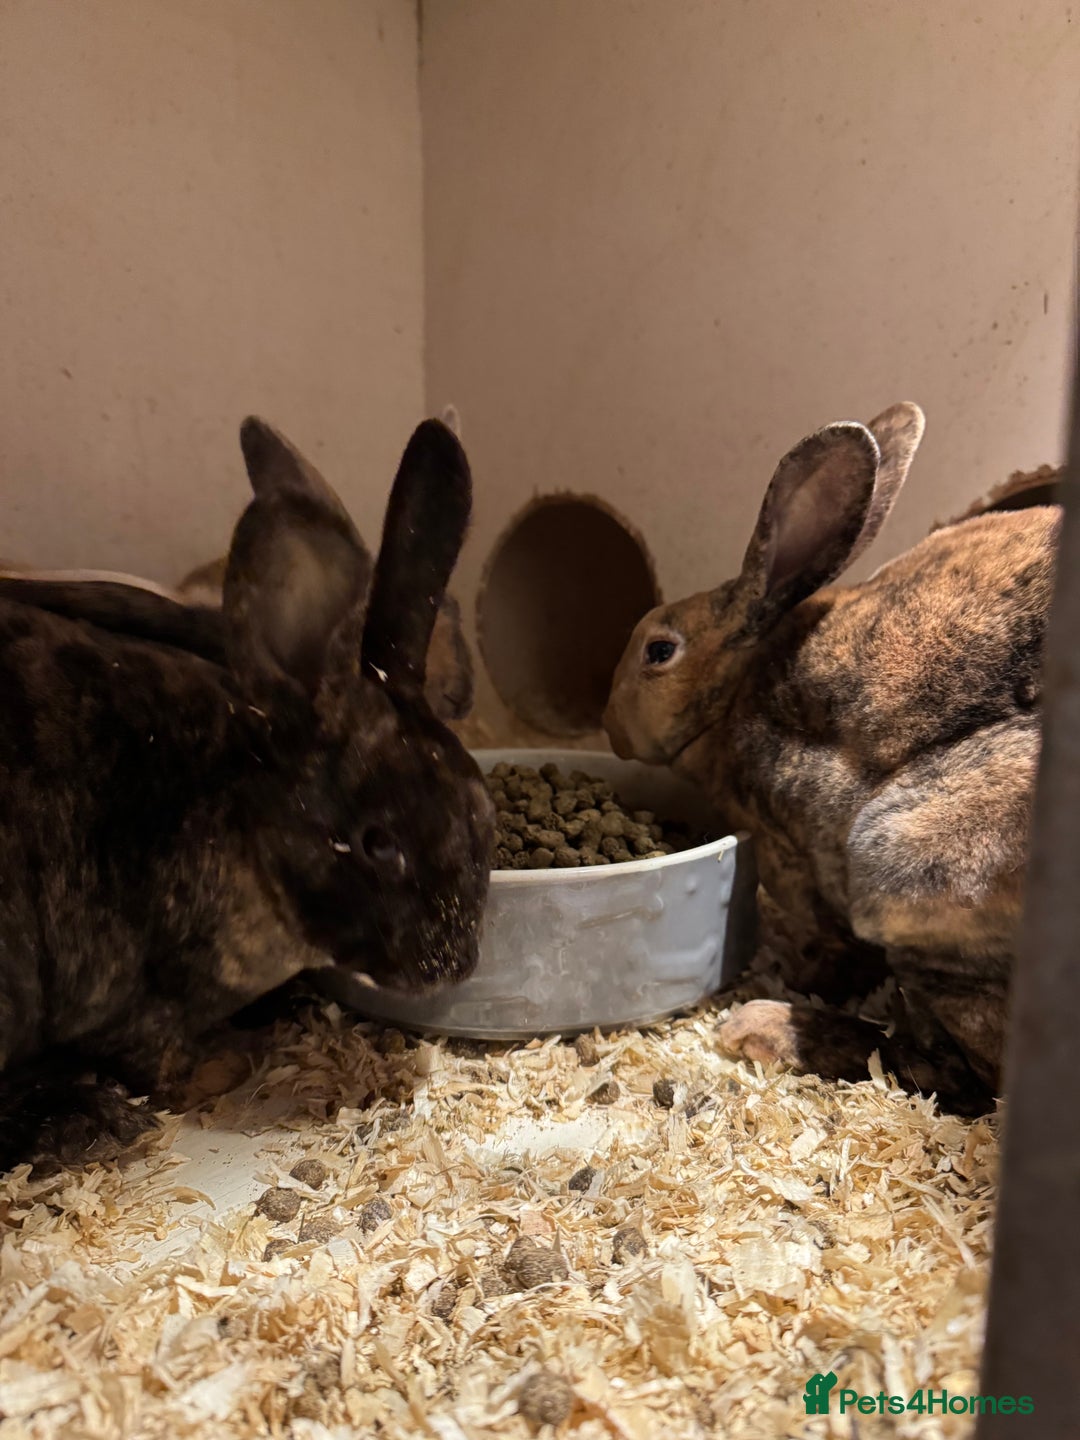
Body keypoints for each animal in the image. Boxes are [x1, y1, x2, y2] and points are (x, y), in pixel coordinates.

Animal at [0, 414, 495, 1172]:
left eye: (482, 813)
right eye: (378, 844)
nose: (454, 965)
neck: (245, 832)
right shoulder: (133, 1008)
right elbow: (161, 1058)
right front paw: (225, 1066)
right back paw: (86, 1120)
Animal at [603, 402, 1057, 1114]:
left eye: (658, 651)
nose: (609, 726)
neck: (736, 693)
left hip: (898, 860)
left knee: (962, 1075)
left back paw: (766, 1026)